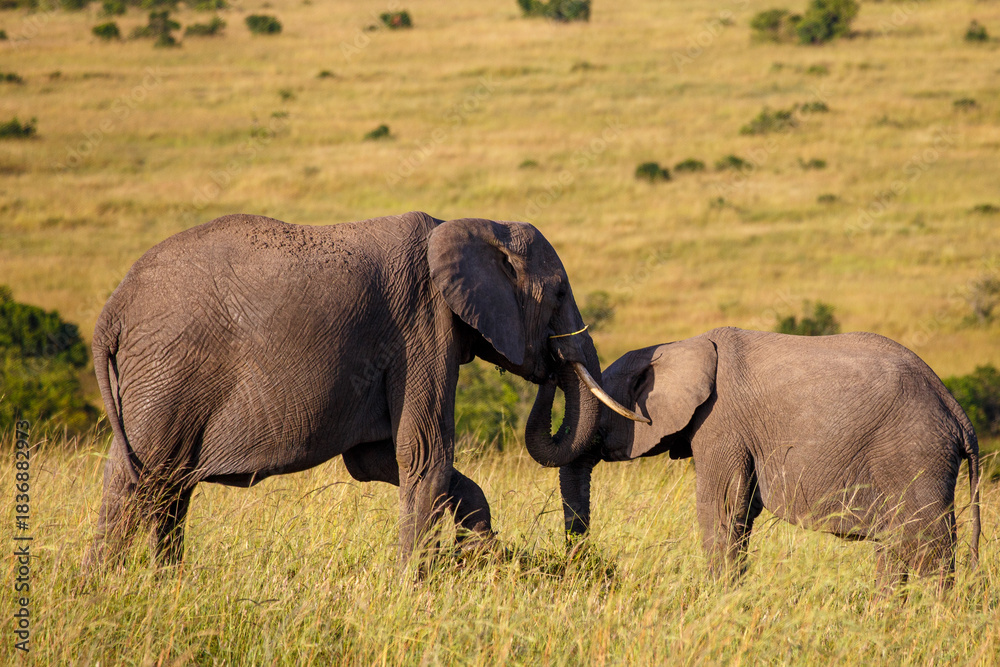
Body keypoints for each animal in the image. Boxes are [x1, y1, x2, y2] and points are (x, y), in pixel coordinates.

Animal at [86, 211, 645, 571]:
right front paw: (415, 587)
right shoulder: (423, 325)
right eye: (559, 293)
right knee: (141, 479)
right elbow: (424, 453)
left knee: (162, 484)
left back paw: (145, 587)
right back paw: (109, 592)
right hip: (169, 370)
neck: (468, 225)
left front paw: (478, 552)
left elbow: (378, 459)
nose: (552, 367)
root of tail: (111, 310)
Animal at [541, 327, 981, 588]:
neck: (681, 345)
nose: (585, 563)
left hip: (916, 455)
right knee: (896, 545)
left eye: (598, 415)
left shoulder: (721, 423)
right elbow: (741, 510)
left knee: (927, 546)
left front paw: (717, 599)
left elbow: (720, 506)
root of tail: (958, 413)